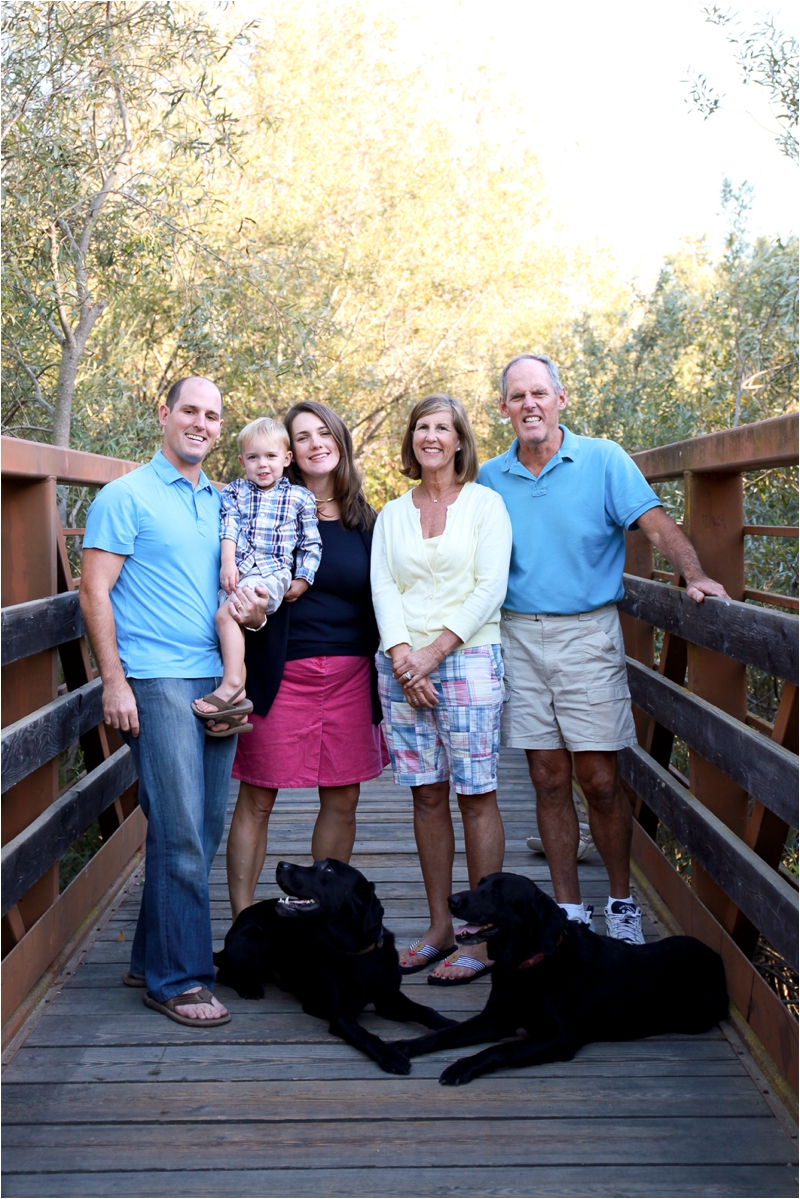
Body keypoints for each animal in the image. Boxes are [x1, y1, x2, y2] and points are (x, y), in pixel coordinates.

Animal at [214, 858, 456, 1074]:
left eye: (328, 869)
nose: (281, 864)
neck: (358, 953)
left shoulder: (389, 999)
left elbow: (424, 1010)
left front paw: (447, 1023)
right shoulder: (341, 1015)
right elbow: (366, 1035)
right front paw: (390, 1056)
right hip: (253, 937)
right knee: (225, 972)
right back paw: (249, 987)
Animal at [393, 872, 729, 1086]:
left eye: (496, 893)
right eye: (480, 885)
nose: (451, 900)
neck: (524, 967)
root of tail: (716, 957)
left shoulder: (558, 1039)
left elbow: (498, 1050)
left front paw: (461, 1065)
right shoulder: (494, 1020)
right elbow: (442, 1034)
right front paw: (405, 1046)